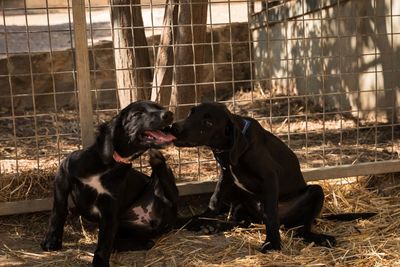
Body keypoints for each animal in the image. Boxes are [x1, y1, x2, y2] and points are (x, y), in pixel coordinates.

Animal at [41, 101, 177, 266]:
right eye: (137, 114)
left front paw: (100, 262)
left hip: (164, 185)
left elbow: (104, 242)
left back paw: (157, 159)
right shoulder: (63, 174)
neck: (108, 165)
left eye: (159, 107)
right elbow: (59, 210)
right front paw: (52, 241)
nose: (168, 114)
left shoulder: (110, 209)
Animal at [172, 103, 376, 253]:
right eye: (190, 113)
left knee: (301, 229)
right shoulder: (226, 177)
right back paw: (214, 226)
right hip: (241, 199)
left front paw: (272, 244)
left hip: (315, 193)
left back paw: (319, 238)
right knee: (244, 222)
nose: (174, 127)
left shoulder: (269, 178)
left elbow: (270, 215)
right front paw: (200, 220)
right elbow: (214, 201)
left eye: (208, 123)